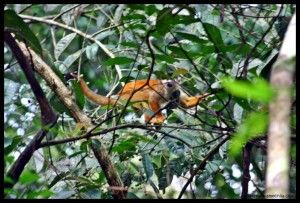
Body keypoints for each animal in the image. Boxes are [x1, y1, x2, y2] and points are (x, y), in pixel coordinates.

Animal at [69, 73, 210, 123]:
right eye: (174, 95)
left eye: (177, 95)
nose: (175, 101)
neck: (166, 90)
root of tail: (118, 94)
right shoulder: (160, 91)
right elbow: (152, 99)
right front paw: (160, 117)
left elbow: (186, 103)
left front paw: (206, 96)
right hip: (126, 98)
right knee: (144, 96)